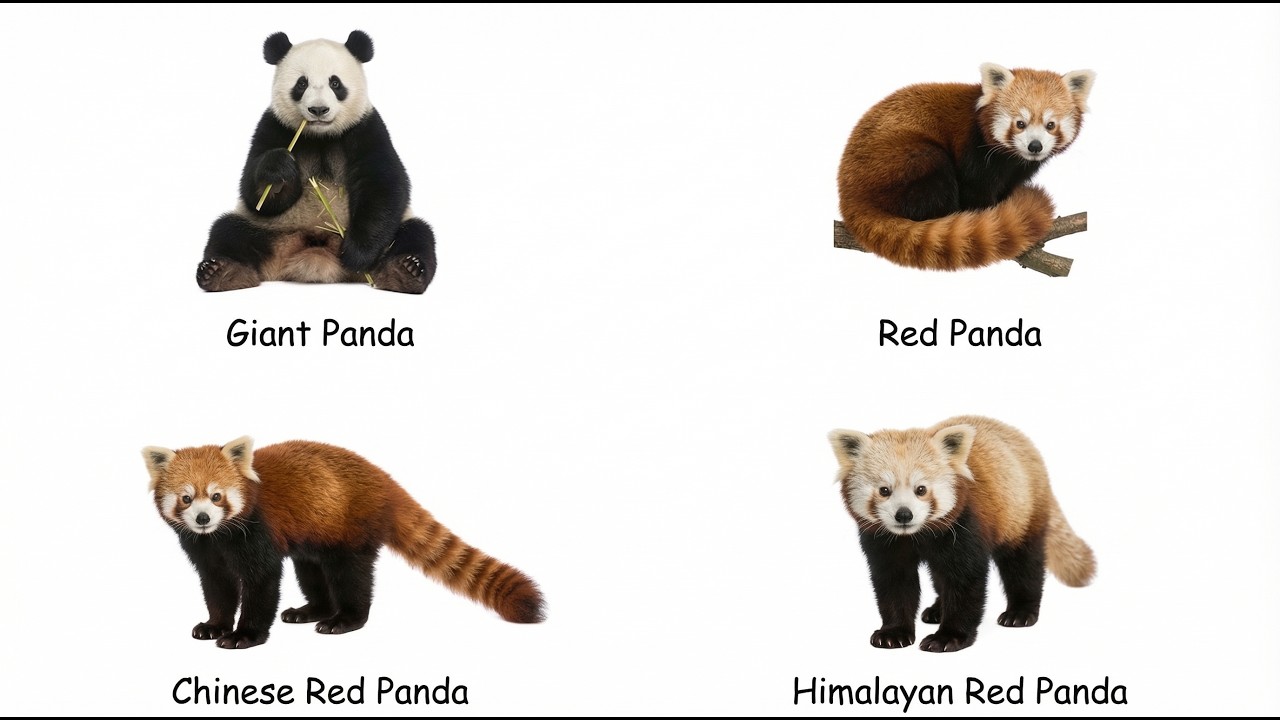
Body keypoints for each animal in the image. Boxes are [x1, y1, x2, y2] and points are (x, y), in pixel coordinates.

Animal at [197, 30, 436, 294]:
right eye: (302, 83)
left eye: (335, 83)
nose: (318, 109)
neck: (321, 135)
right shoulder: (273, 126)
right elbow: (254, 194)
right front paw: (278, 168)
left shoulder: (366, 128)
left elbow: (383, 185)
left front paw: (356, 255)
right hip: (267, 229)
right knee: (228, 231)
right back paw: (222, 272)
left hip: (396, 230)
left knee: (416, 234)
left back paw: (404, 271)